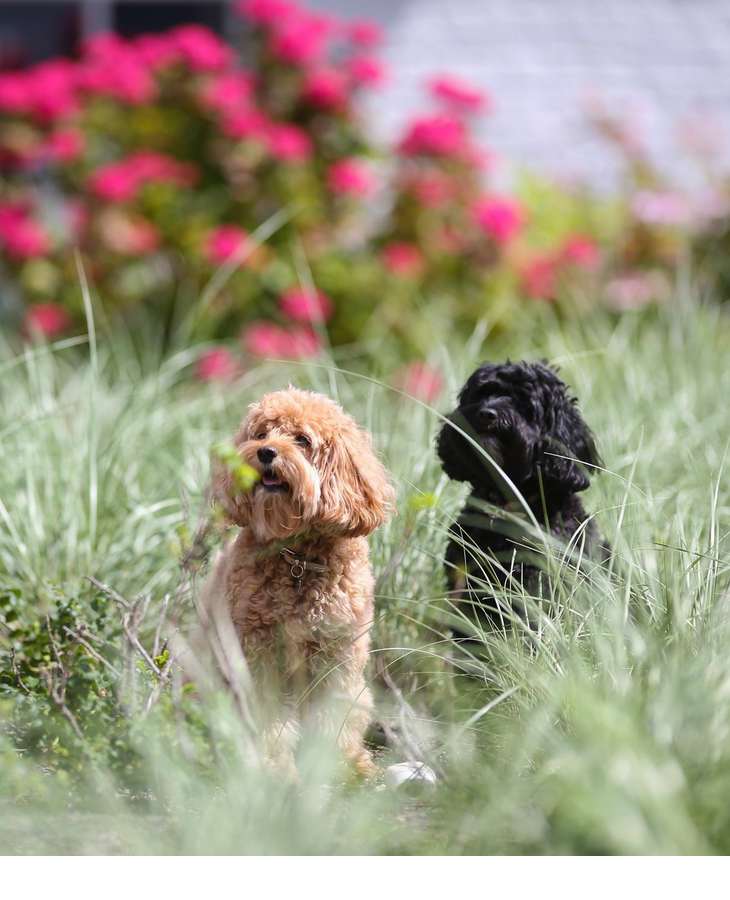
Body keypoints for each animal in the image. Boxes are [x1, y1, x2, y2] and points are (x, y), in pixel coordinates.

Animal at [205, 390, 392, 776]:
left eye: (302, 440)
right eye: (261, 434)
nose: (265, 452)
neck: (298, 557)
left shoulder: (338, 654)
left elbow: (331, 714)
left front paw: (331, 764)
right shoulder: (258, 653)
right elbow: (269, 714)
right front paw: (272, 763)